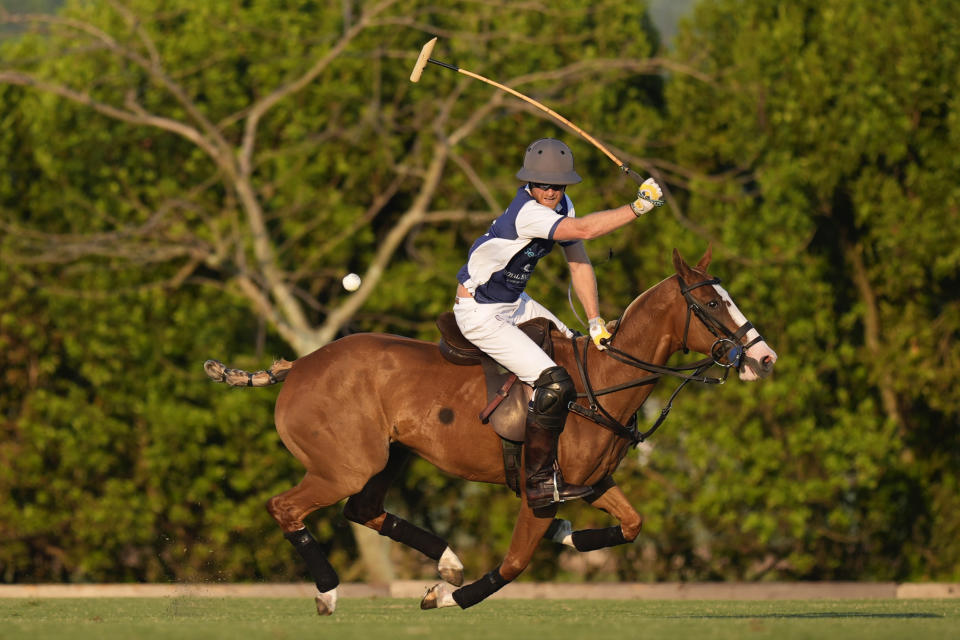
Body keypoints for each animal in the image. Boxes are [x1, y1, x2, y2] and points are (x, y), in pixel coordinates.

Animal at [204, 246, 780, 616]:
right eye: (711, 304)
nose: (764, 359)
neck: (602, 380)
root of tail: (298, 366)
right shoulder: (537, 489)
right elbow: (516, 562)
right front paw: (443, 598)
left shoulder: (591, 483)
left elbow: (634, 524)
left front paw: (564, 534)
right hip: (344, 464)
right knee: (286, 507)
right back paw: (330, 593)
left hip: (388, 455)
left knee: (362, 509)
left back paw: (449, 563)